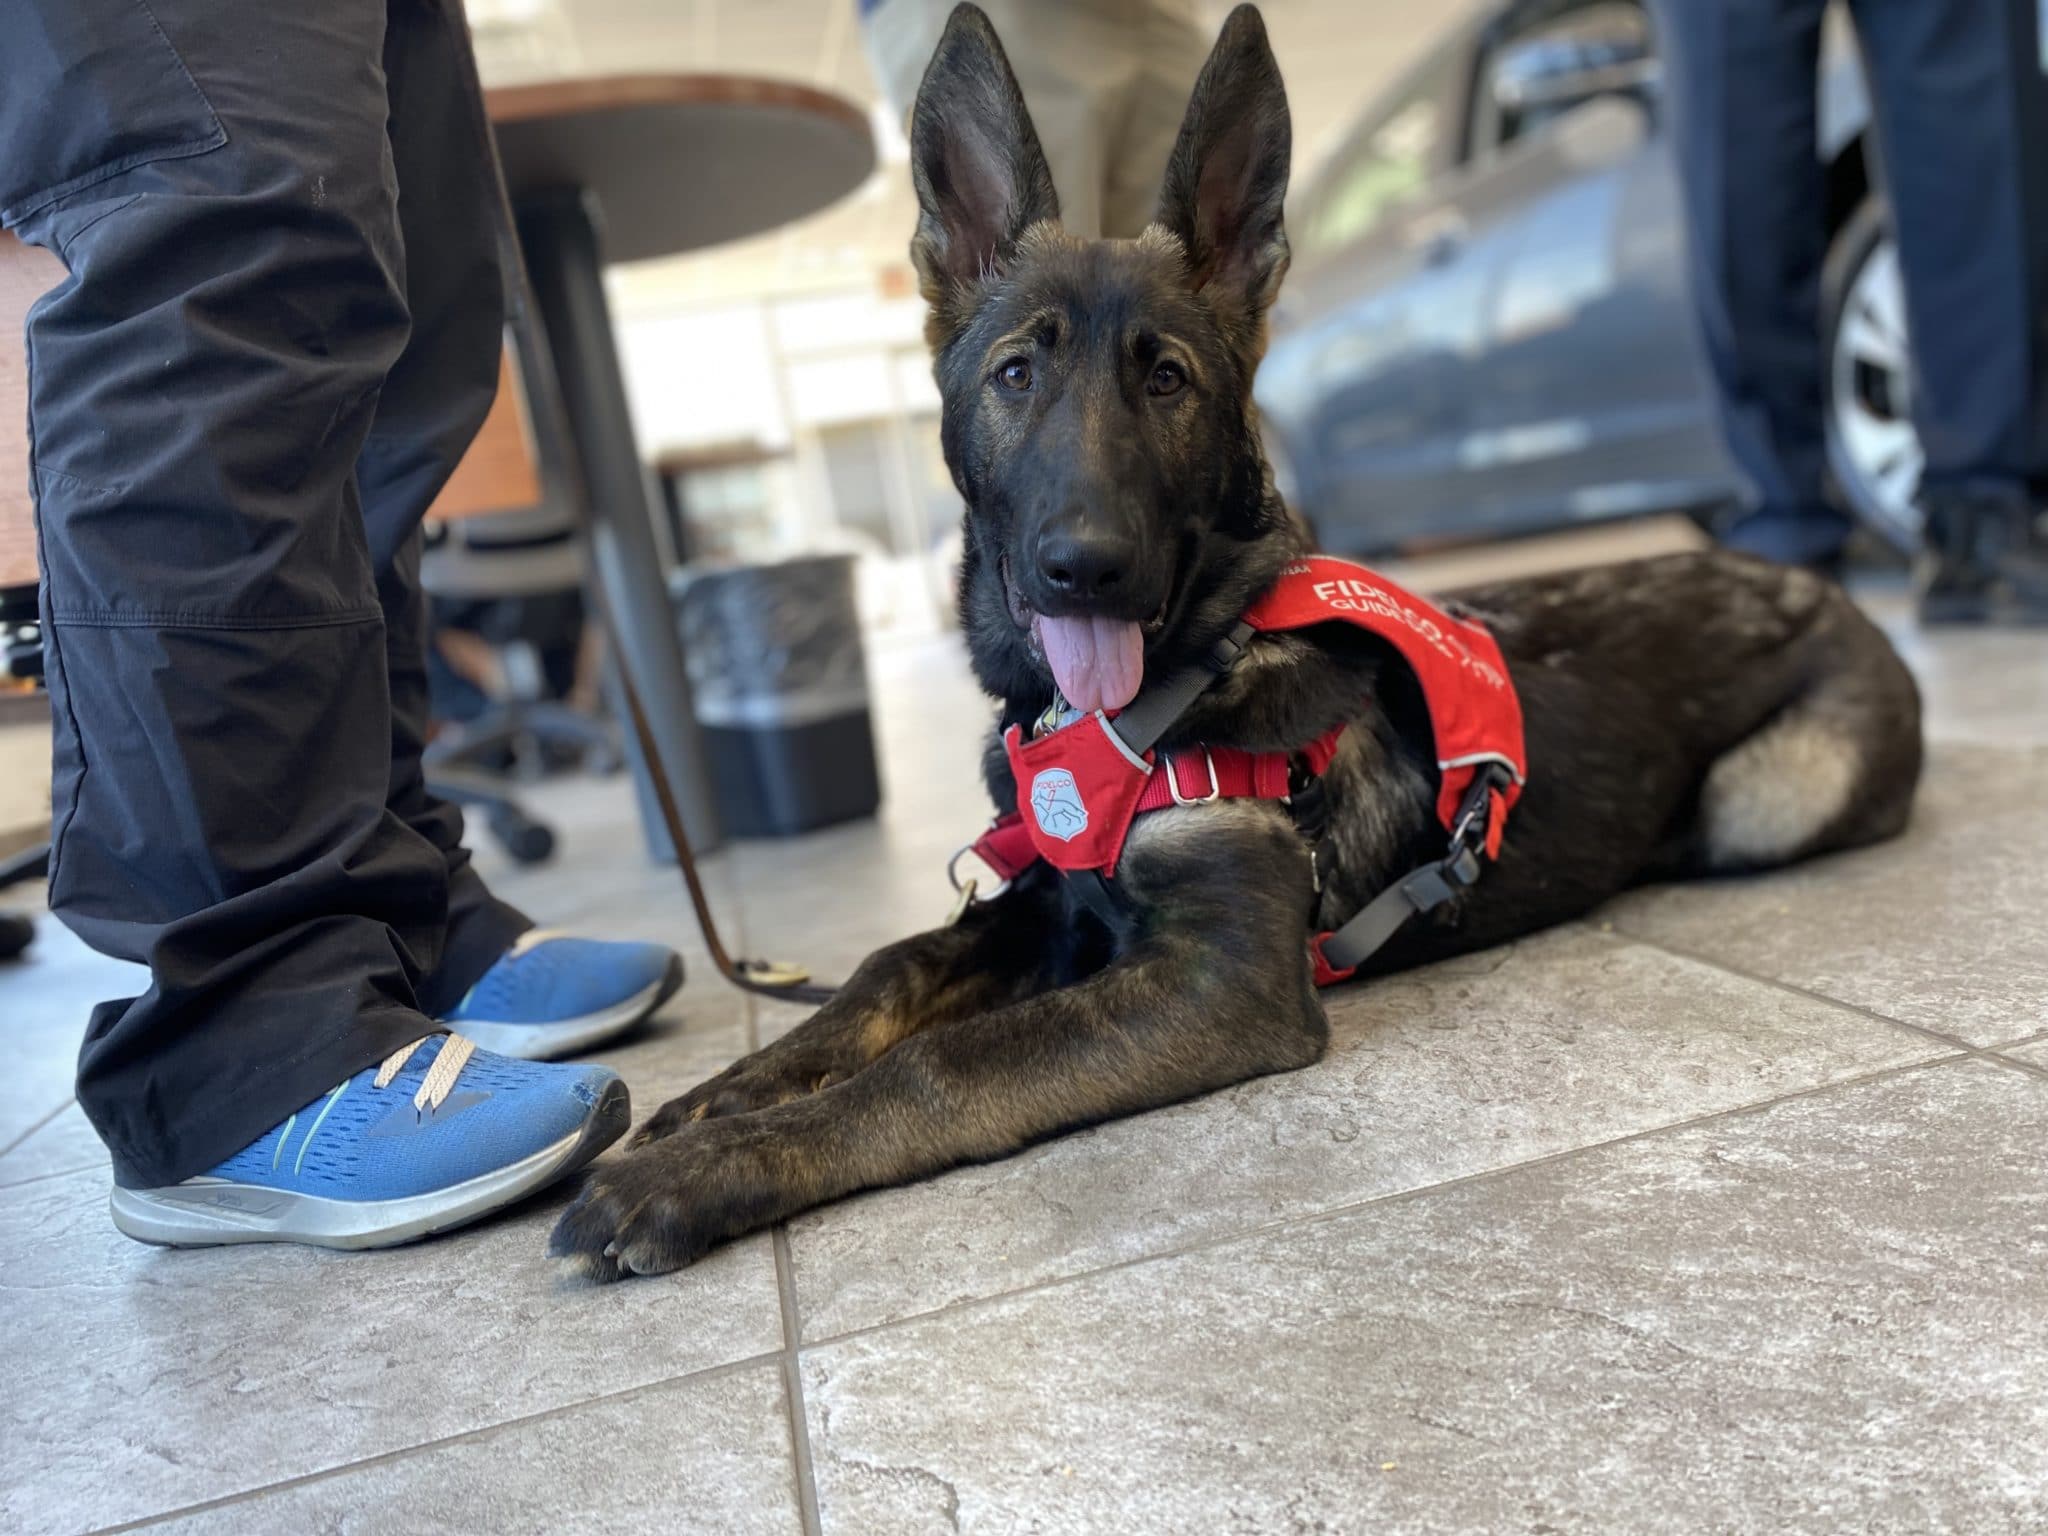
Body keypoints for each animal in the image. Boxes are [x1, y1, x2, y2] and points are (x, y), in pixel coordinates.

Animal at [544, 3, 1916, 1277]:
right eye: (1014, 375)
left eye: (1166, 381)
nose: (1084, 567)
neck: (1134, 706)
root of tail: (1823, 589)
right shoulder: (1039, 910)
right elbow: (883, 973)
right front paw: (722, 1097)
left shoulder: (1219, 982)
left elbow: (944, 1064)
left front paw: (699, 1173)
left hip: (1767, 795)